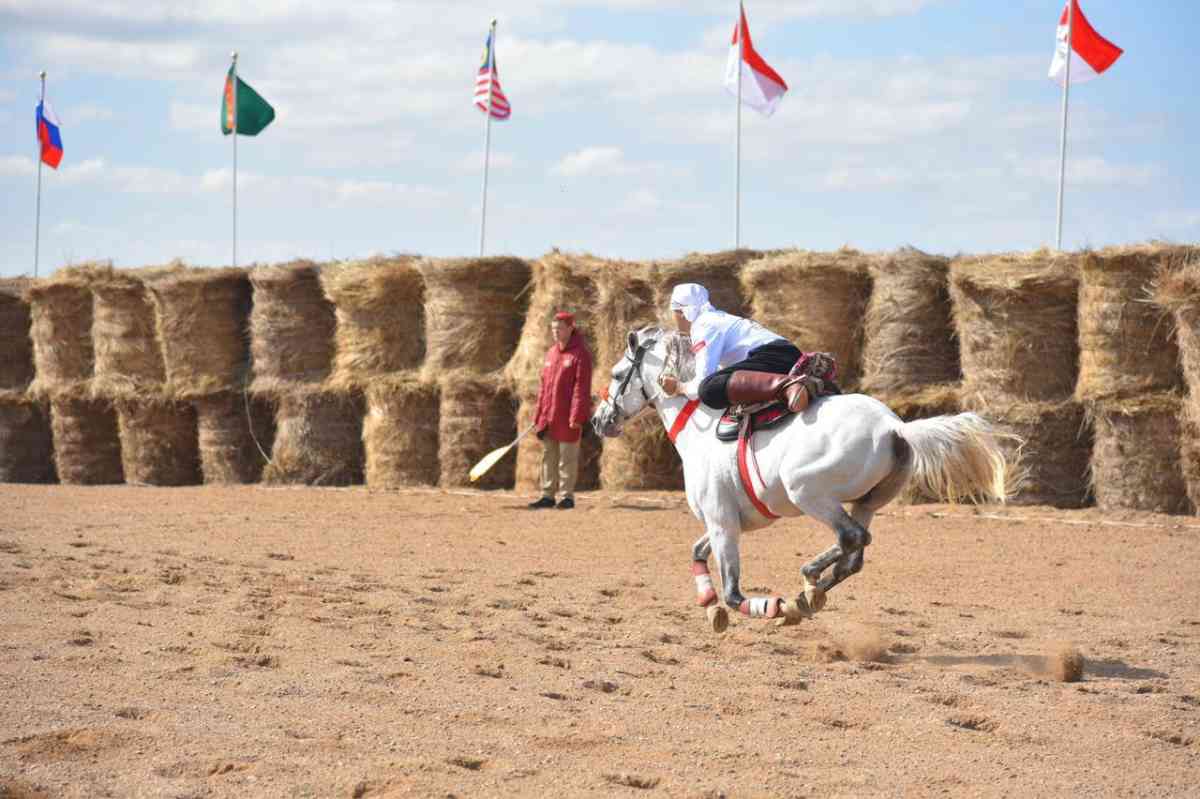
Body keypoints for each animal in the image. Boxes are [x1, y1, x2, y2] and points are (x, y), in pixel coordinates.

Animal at [592, 326, 1012, 633]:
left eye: (617, 374)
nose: (599, 420)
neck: (702, 428)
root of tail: (896, 427)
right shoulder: (725, 522)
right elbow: (697, 553)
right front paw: (710, 606)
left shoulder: (722, 521)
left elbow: (734, 592)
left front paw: (767, 606)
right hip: (867, 502)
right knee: (854, 554)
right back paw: (808, 595)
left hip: (807, 492)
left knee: (851, 538)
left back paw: (804, 587)